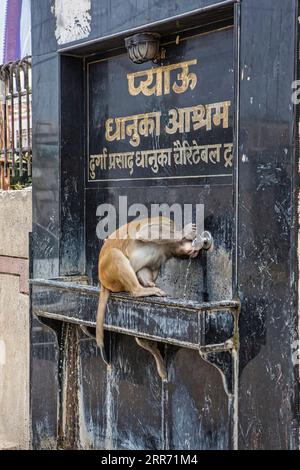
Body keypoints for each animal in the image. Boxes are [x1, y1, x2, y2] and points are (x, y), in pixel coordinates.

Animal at [95, 217, 202, 374]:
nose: (194, 251)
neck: (168, 246)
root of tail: (103, 281)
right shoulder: (166, 223)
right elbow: (144, 233)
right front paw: (185, 232)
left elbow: (145, 270)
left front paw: (150, 283)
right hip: (109, 272)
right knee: (115, 254)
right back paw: (139, 290)